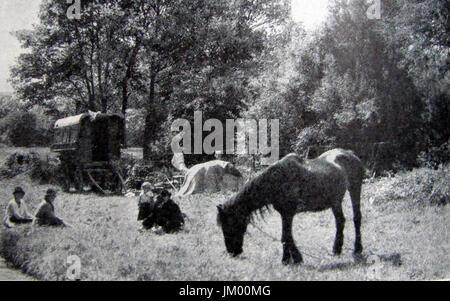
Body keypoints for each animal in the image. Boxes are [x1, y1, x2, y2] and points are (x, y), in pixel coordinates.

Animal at [218, 149, 366, 264]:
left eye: (229, 224)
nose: (232, 252)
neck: (278, 181)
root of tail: (350, 154)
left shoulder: (288, 213)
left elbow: (286, 237)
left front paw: (295, 258)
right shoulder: (284, 213)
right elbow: (286, 237)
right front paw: (287, 259)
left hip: (354, 189)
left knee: (356, 218)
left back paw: (357, 249)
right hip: (335, 201)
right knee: (340, 221)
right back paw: (336, 250)